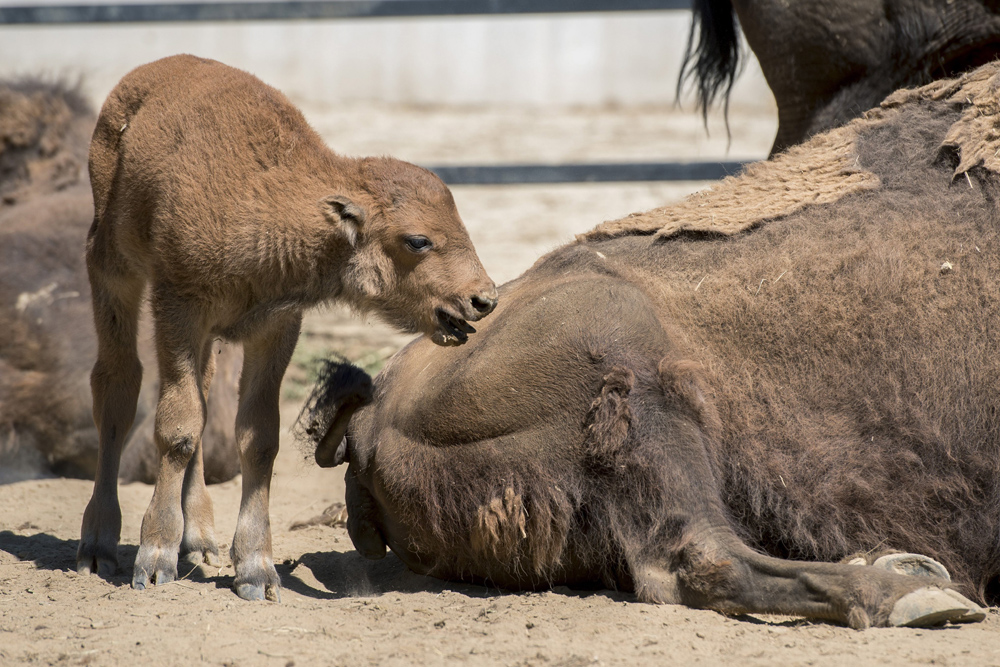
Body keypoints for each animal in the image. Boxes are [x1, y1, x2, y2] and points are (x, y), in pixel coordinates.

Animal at [76, 54, 498, 604]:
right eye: (418, 239)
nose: (483, 299)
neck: (279, 202)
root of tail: (137, 81)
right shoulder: (179, 308)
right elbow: (178, 427)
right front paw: (154, 560)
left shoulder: (274, 327)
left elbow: (257, 437)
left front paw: (255, 571)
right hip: (113, 270)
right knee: (117, 389)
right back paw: (98, 546)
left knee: (202, 397)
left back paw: (201, 542)